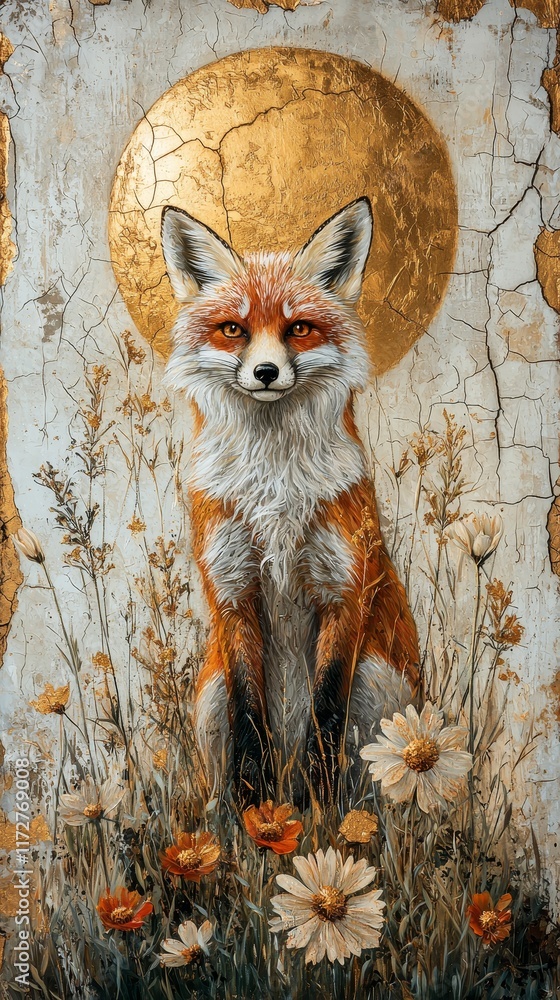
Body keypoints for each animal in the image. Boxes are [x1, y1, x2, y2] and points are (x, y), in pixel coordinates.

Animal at [161, 197, 419, 807]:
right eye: (233, 329)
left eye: (298, 328)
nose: (265, 372)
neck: (273, 489)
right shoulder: (232, 590)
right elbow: (249, 721)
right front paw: (258, 812)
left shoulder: (345, 589)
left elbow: (325, 719)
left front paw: (322, 814)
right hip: (208, 697)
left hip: (380, 682)